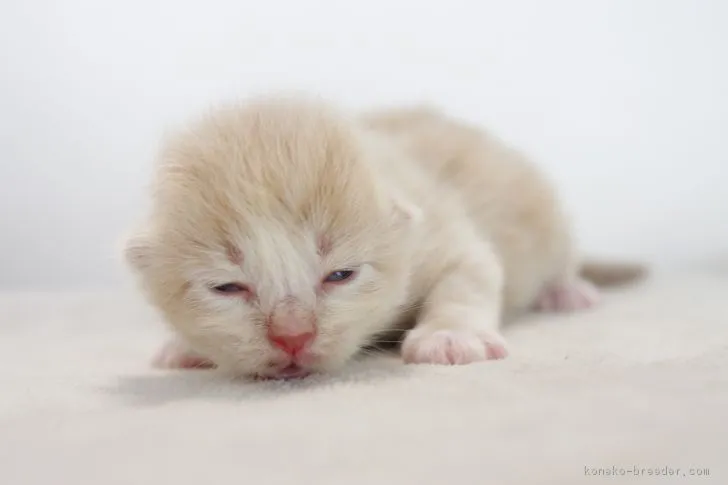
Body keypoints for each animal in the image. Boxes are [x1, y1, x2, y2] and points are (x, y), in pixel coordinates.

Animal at [123, 94, 644, 378]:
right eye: (227, 287)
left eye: (340, 275)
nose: (292, 337)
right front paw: (188, 348)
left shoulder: (440, 231)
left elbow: (469, 276)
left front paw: (450, 337)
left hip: (544, 212)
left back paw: (567, 291)